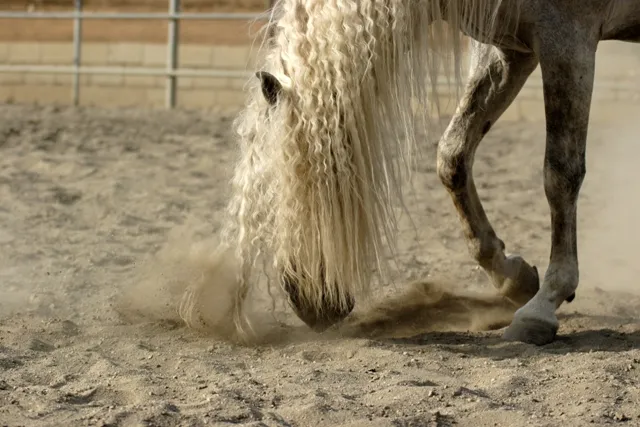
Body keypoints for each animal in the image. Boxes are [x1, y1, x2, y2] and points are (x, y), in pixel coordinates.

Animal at [209, 0, 640, 346]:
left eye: (290, 188)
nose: (311, 306)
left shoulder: (568, 42)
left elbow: (560, 173)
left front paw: (543, 306)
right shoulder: (509, 48)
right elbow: (453, 155)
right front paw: (513, 277)